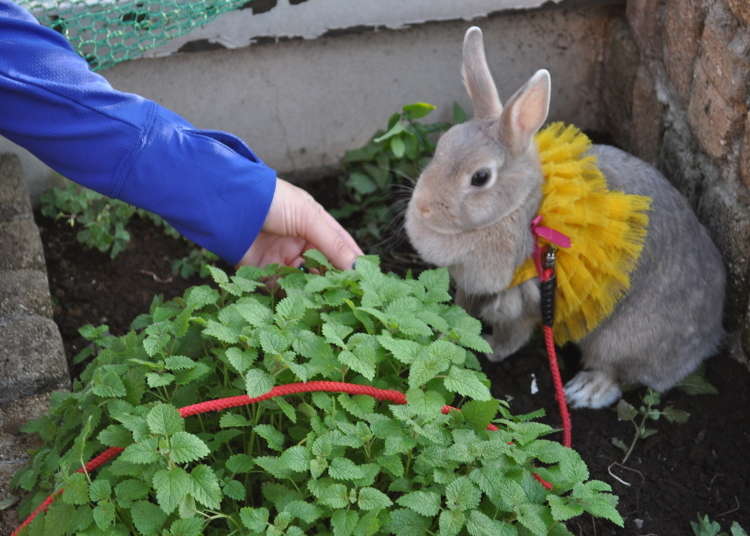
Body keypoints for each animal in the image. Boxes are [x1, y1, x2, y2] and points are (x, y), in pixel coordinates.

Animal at [406, 26, 728, 410]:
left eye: (480, 178)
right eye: (441, 145)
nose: (424, 207)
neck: (523, 209)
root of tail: (711, 335)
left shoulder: (525, 300)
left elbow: (511, 334)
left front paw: (493, 351)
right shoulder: (470, 287)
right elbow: (459, 310)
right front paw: (446, 329)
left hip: (619, 339)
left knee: (621, 374)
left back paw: (585, 390)